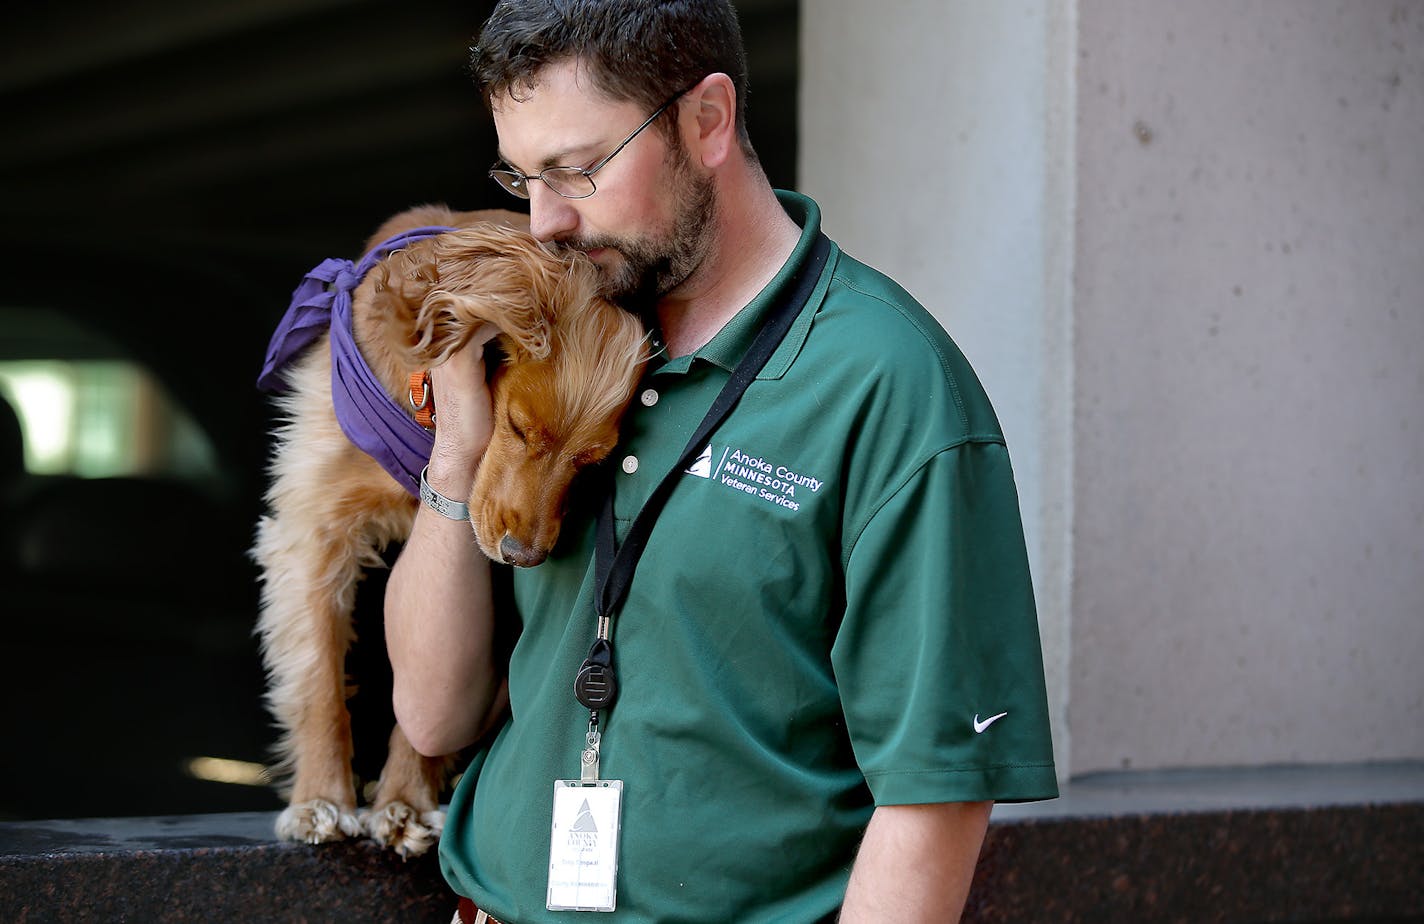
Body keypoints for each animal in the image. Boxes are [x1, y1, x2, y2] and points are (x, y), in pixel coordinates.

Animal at [253, 202, 649, 848]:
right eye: (517, 427)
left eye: (591, 462)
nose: (523, 556)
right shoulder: (314, 519)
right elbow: (318, 682)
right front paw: (320, 800)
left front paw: (406, 802)